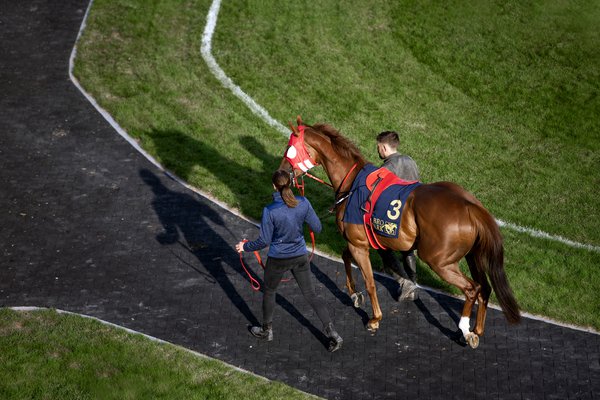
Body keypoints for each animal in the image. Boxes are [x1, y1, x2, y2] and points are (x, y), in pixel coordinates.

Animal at [278, 115, 516, 346]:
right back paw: (477, 329)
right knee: (484, 288)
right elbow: (347, 257)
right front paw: (355, 294)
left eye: (289, 149)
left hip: (439, 261)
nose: (279, 175)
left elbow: (370, 282)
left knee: (471, 288)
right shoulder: (361, 242)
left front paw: (374, 318)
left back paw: (465, 330)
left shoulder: (358, 244)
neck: (352, 182)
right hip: (472, 256)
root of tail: (471, 206)